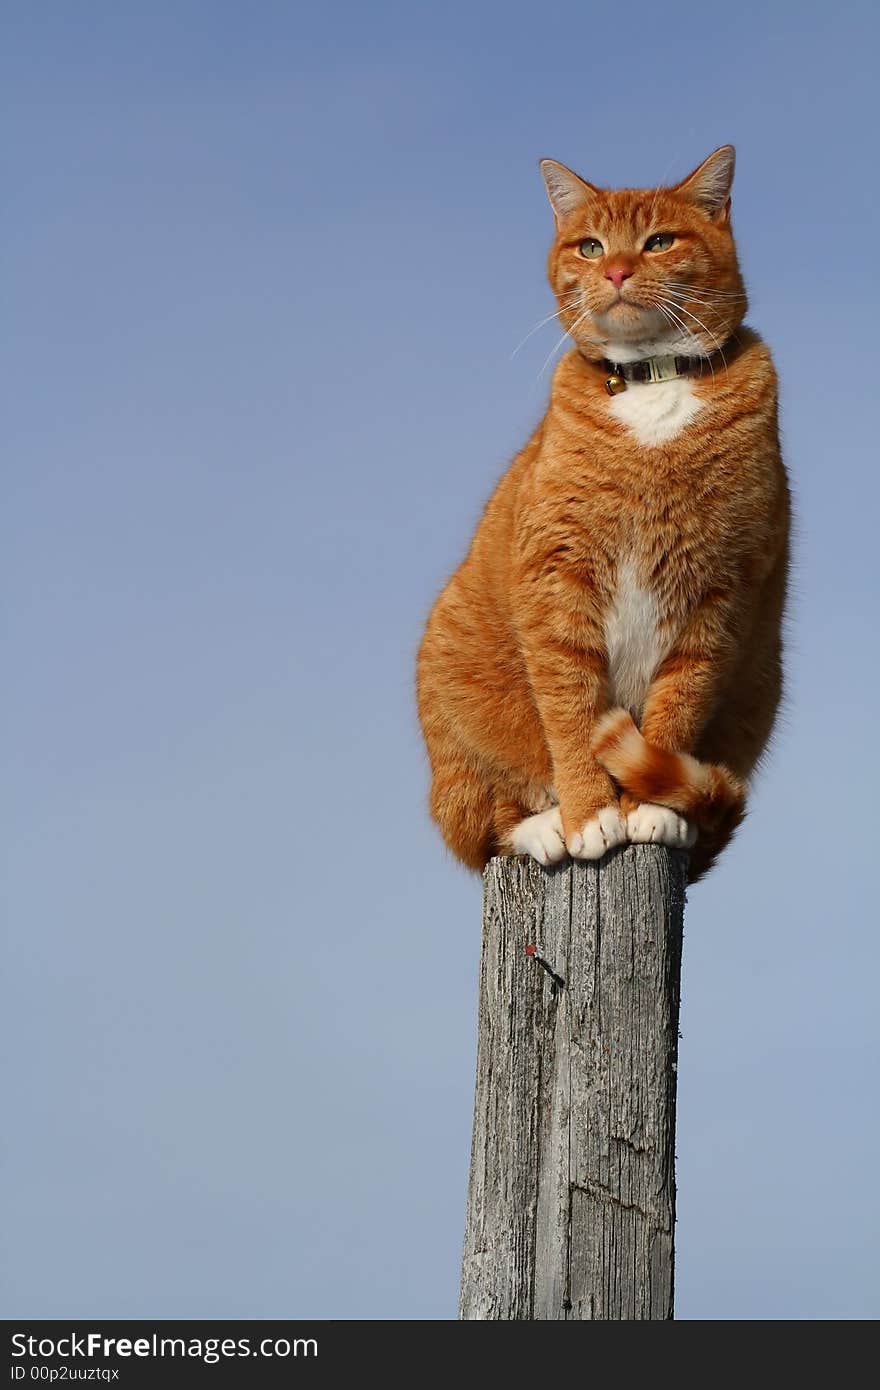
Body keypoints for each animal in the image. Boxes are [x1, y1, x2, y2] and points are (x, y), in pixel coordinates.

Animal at [419, 149, 789, 878]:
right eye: (590, 246)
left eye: (659, 241)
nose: (616, 270)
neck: (654, 381)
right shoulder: (557, 580)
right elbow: (571, 712)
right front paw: (591, 814)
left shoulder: (720, 595)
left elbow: (676, 711)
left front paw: (651, 811)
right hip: (457, 721)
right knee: (484, 825)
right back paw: (543, 827)